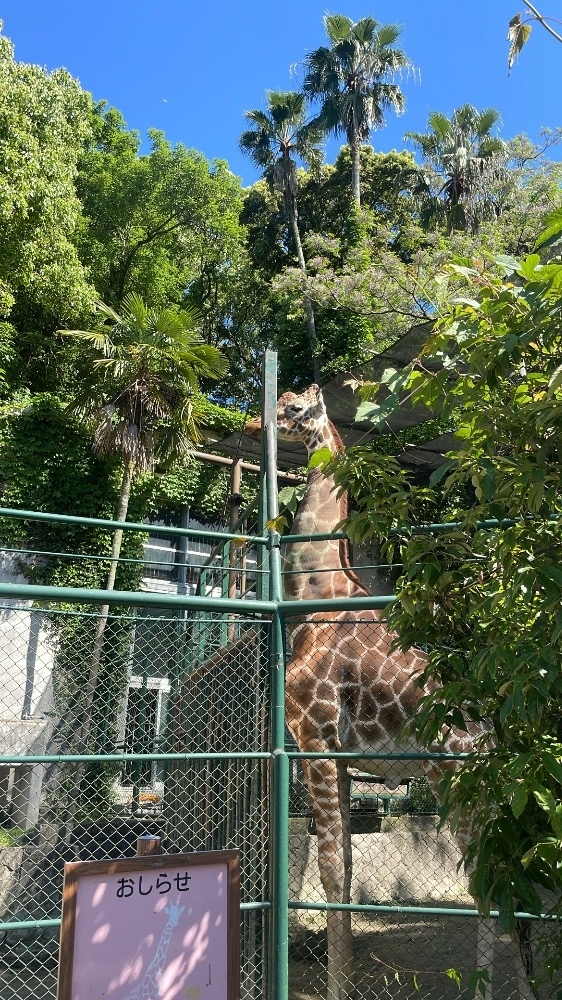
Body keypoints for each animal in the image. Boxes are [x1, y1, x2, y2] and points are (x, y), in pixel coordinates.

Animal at [243, 386, 532, 1000]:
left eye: (296, 409)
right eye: (281, 400)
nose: (256, 423)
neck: (319, 596)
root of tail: (500, 730)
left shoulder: (314, 739)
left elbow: (331, 874)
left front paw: (338, 988)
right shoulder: (342, 757)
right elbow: (347, 870)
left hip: (456, 778)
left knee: (485, 882)